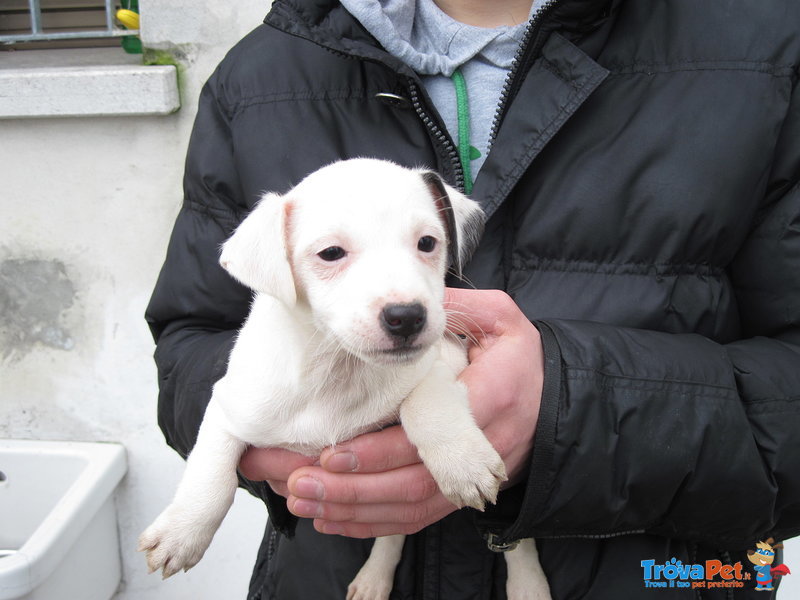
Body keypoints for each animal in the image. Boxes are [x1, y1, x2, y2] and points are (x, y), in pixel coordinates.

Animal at [139, 157, 552, 596]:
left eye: (427, 242)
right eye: (331, 253)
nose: (407, 316)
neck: (338, 369)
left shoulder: (451, 355)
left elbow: (425, 394)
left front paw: (462, 461)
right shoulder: (229, 403)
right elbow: (211, 468)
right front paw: (183, 531)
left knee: (514, 541)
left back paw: (527, 585)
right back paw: (374, 579)